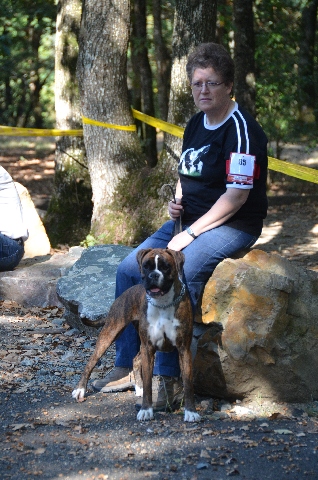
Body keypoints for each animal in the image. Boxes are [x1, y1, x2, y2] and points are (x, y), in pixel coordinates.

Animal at [73, 249, 200, 422]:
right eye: (146, 266)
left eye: (165, 267)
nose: (154, 275)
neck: (163, 303)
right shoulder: (149, 348)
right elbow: (148, 383)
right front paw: (146, 410)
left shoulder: (183, 350)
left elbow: (188, 383)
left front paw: (190, 411)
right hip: (111, 332)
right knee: (91, 362)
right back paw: (80, 389)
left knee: (135, 359)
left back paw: (138, 388)